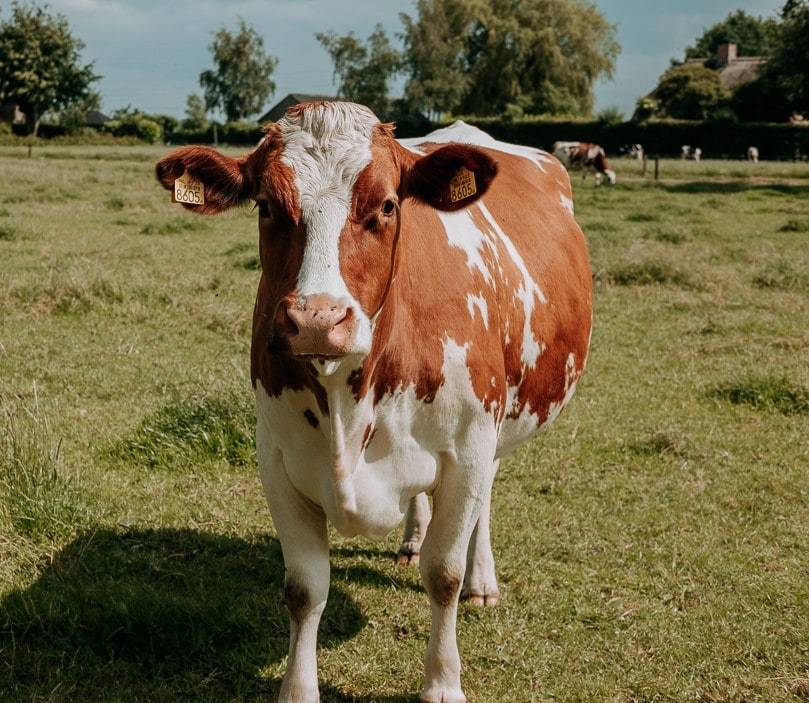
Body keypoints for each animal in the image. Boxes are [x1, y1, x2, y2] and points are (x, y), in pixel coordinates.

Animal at [155, 100, 592, 703]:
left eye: (387, 205)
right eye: (267, 205)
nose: (317, 319)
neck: (347, 401)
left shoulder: (470, 446)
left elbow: (444, 575)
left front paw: (443, 683)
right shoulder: (277, 460)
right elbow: (304, 588)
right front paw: (298, 690)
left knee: (483, 504)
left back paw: (482, 579)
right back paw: (411, 539)